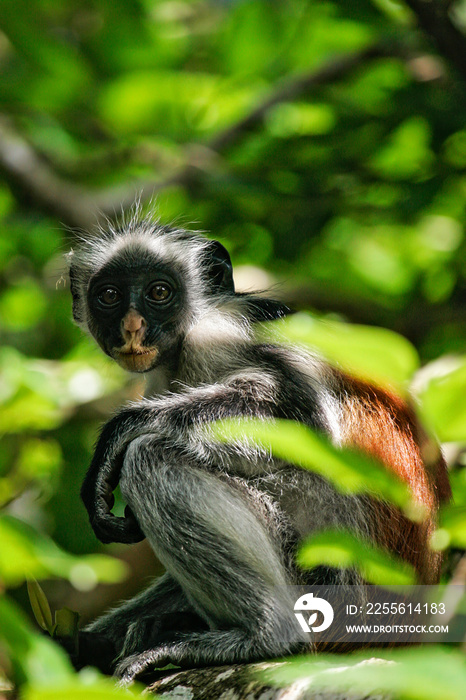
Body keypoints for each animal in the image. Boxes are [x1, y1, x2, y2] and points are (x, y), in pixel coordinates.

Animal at [67, 215, 450, 684]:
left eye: (159, 292)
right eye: (109, 296)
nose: (132, 327)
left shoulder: (219, 333)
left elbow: (302, 419)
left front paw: (118, 434)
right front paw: (90, 643)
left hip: (333, 579)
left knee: (151, 458)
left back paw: (267, 636)